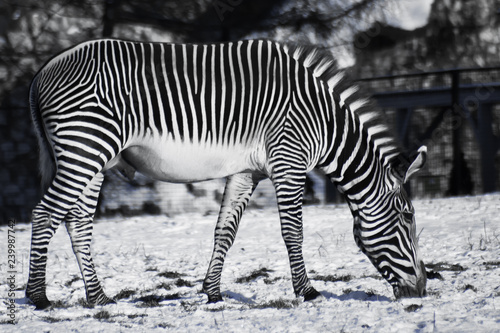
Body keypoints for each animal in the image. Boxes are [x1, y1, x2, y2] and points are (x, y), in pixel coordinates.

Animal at [26, 38, 426, 308]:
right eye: (407, 217)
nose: (421, 290)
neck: (325, 124)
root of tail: (43, 71)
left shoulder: (247, 171)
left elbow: (225, 232)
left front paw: (213, 292)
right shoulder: (289, 161)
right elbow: (293, 232)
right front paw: (308, 292)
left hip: (92, 157)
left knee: (77, 222)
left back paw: (98, 297)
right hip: (84, 147)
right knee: (45, 214)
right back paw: (38, 297)